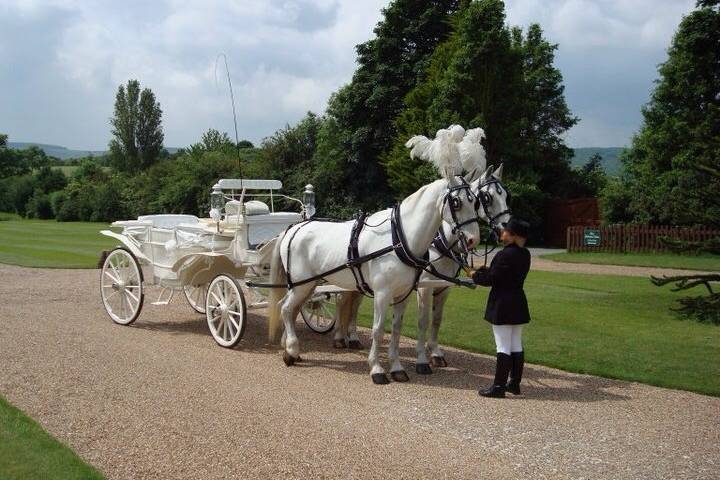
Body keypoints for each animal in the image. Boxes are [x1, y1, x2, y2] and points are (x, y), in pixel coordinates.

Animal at [268, 125, 484, 384]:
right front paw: (378, 369)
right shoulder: (382, 293)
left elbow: (397, 330)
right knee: (285, 309)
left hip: (308, 285)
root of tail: (294, 228)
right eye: (456, 202)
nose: (473, 239)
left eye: (475, 201)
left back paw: (289, 347)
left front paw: (397, 367)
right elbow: (378, 330)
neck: (399, 239)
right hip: (302, 284)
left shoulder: (403, 294)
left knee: (287, 308)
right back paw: (291, 350)